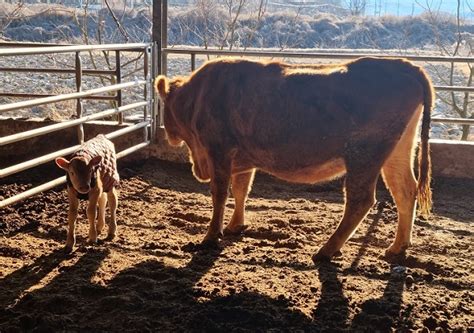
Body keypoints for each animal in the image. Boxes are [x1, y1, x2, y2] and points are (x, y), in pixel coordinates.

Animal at [156, 57, 434, 260]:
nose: (167, 134)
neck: (198, 95)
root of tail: (403, 65)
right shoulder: (242, 158)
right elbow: (241, 189)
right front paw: (236, 225)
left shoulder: (219, 150)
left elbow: (220, 193)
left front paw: (211, 235)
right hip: (398, 152)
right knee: (404, 190)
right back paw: (397, 247)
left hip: (363, 156)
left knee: (361, 199)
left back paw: (326, 250)